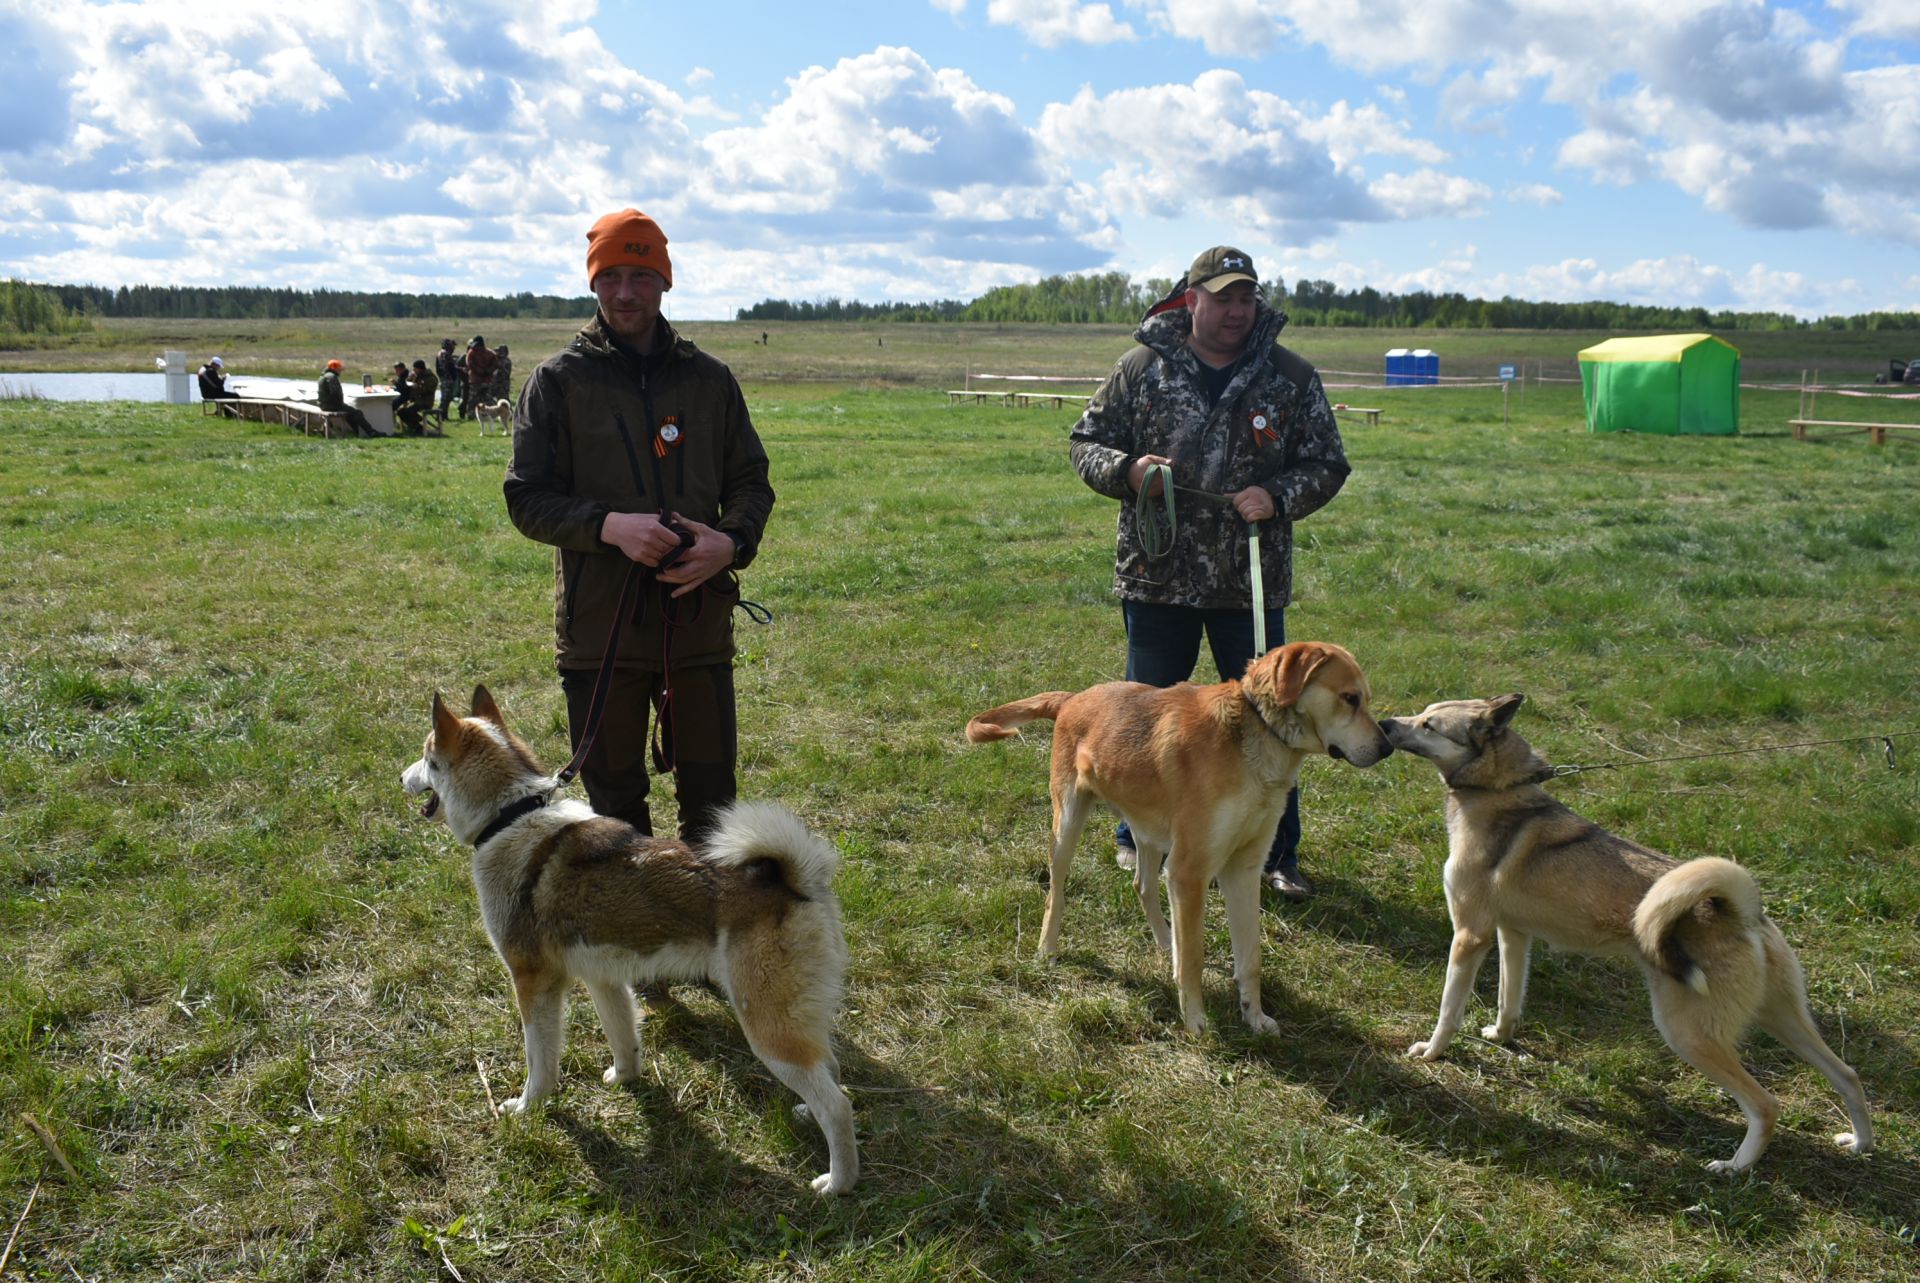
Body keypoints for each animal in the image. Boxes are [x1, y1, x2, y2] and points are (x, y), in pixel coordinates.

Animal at [401, 687, 860, 1198]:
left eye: (426, 757)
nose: (400, 778)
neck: (510, 817)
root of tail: (793, 881)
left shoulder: (534, 981)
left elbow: (540, 1061)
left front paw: (527, 1108)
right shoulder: (604, 979)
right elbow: (622, 1035)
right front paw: (625, 1079)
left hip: (765, 1023)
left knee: (838, 1105)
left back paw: (837, 1183)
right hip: (796, 1014)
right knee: (829, 1072)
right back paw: (805, 1113)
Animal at [967, 637, 1390, 1029]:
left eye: (1367, 699)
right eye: (1349, 698)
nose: (1387, 748)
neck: (1256, 738)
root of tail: (1074, 698)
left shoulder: (1243, 869)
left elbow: (1250, 957)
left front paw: (1254, 1017)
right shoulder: (1190, 872)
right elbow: (1194, 958)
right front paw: (1195, 1021)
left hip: (1148, 832)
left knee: (1142, 885)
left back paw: (1166, 941)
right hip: (1068, 824)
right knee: (1056, 892)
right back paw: (1048, 950)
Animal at [1382, 691, 1873, 1175]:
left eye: (1428, 725)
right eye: (1422, 713)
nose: (1385, 722)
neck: (1500, 791)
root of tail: (1741, 911)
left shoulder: (1469, 936)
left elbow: (1449, 1010)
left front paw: (1431, 1052)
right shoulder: (1513, 935)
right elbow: (1509, 998)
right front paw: (1501, 1038)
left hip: (1687, 1033)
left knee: (1766, 1105)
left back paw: (1733, 1167)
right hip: (1783, 1019)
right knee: (1848, 1075)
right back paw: (1859, 1143)